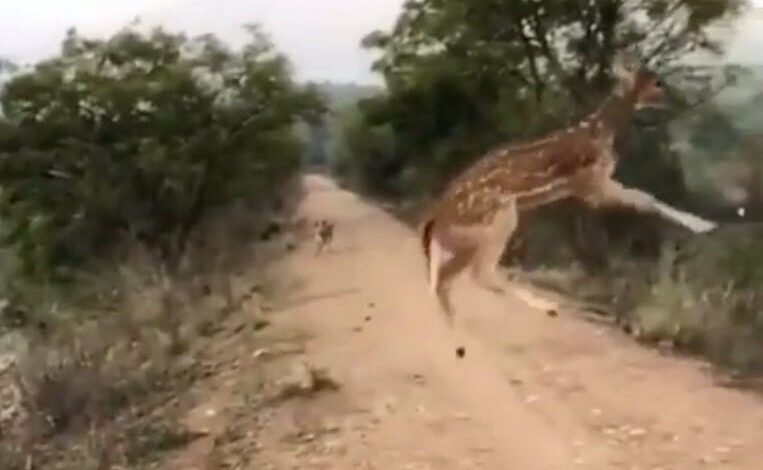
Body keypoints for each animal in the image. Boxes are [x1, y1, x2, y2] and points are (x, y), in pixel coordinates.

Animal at [420, 53, 720, 322]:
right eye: (657, 82)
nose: (675, 101)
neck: (602, 133)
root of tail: (436, 219)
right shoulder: (591, 184)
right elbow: (645, 197)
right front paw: (703, 225)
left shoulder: (592, 184)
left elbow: (645, 196)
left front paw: (704, 224)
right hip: (499, 217)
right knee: (480, 272)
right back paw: (549, 307)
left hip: (470, 237)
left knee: (446, 278)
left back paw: (452, 320)